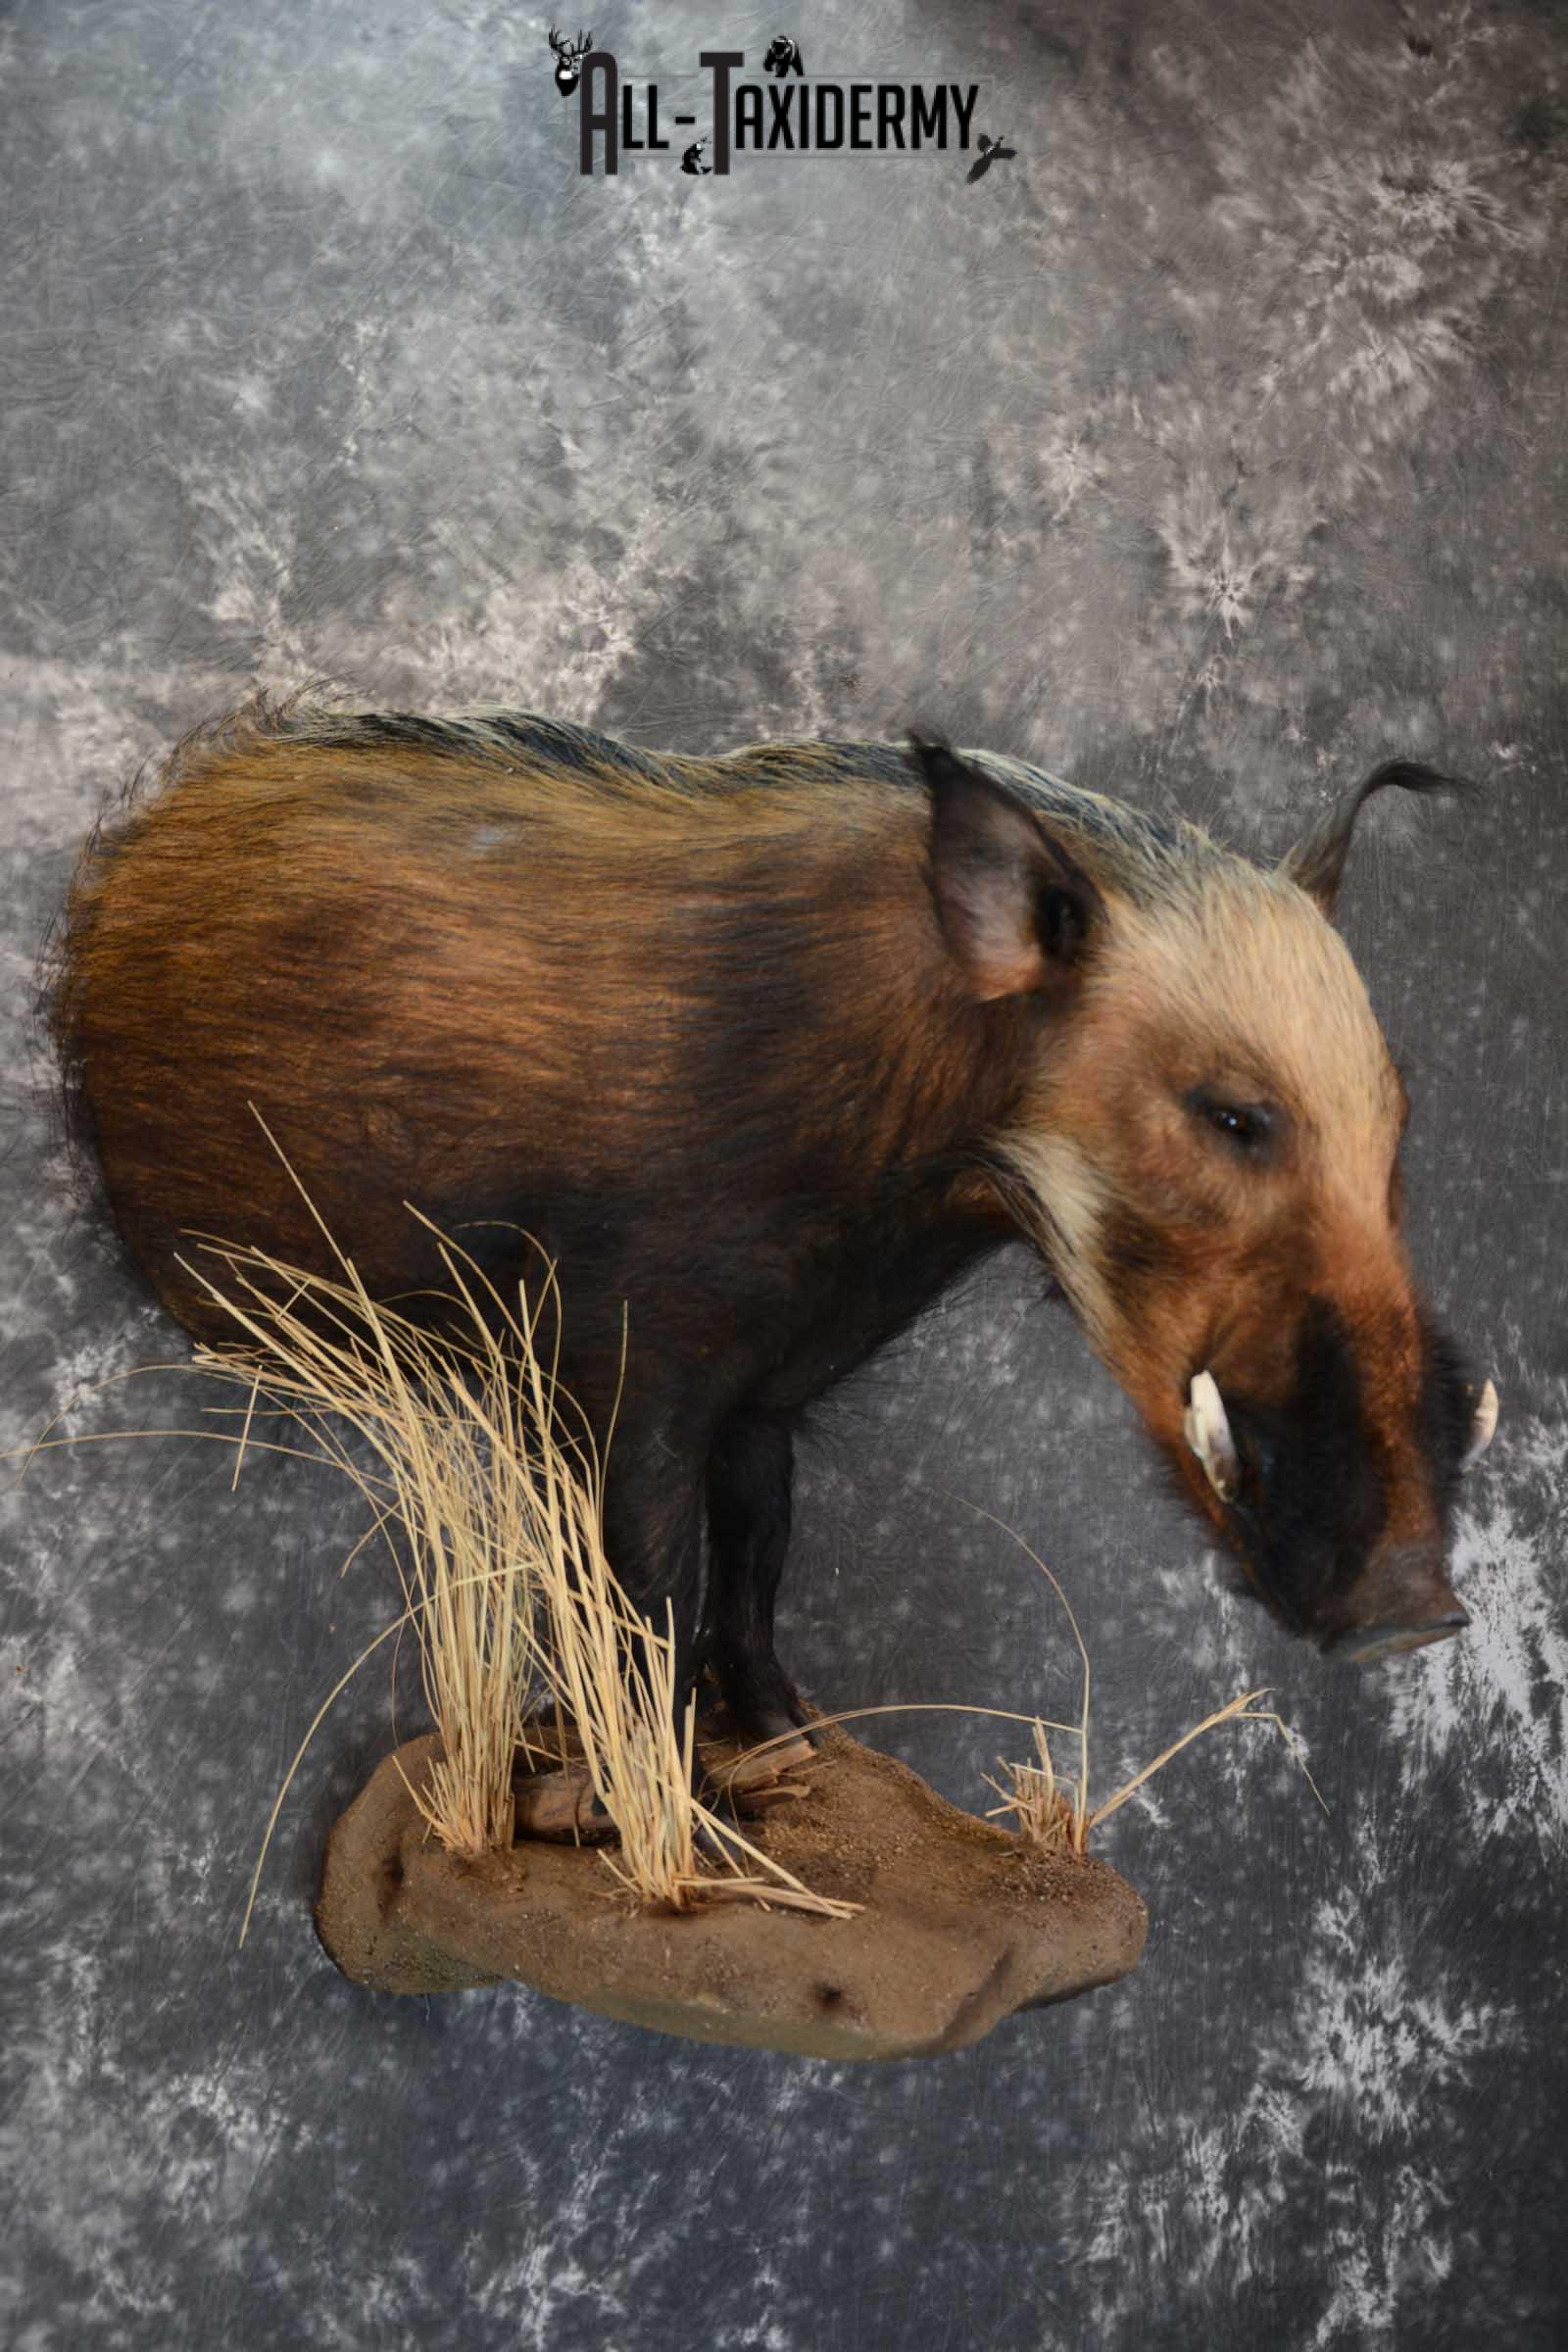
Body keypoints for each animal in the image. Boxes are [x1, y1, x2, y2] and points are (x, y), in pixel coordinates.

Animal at [49, 699, 1498, 1744]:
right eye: (1234, 1116)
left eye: (1398, 1114)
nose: (1419, 1615)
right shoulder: (623, 1372)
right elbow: (646, 1590)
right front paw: (676, 1805)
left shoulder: (767, 1393)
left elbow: (757, 1563)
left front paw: (796, 1744)